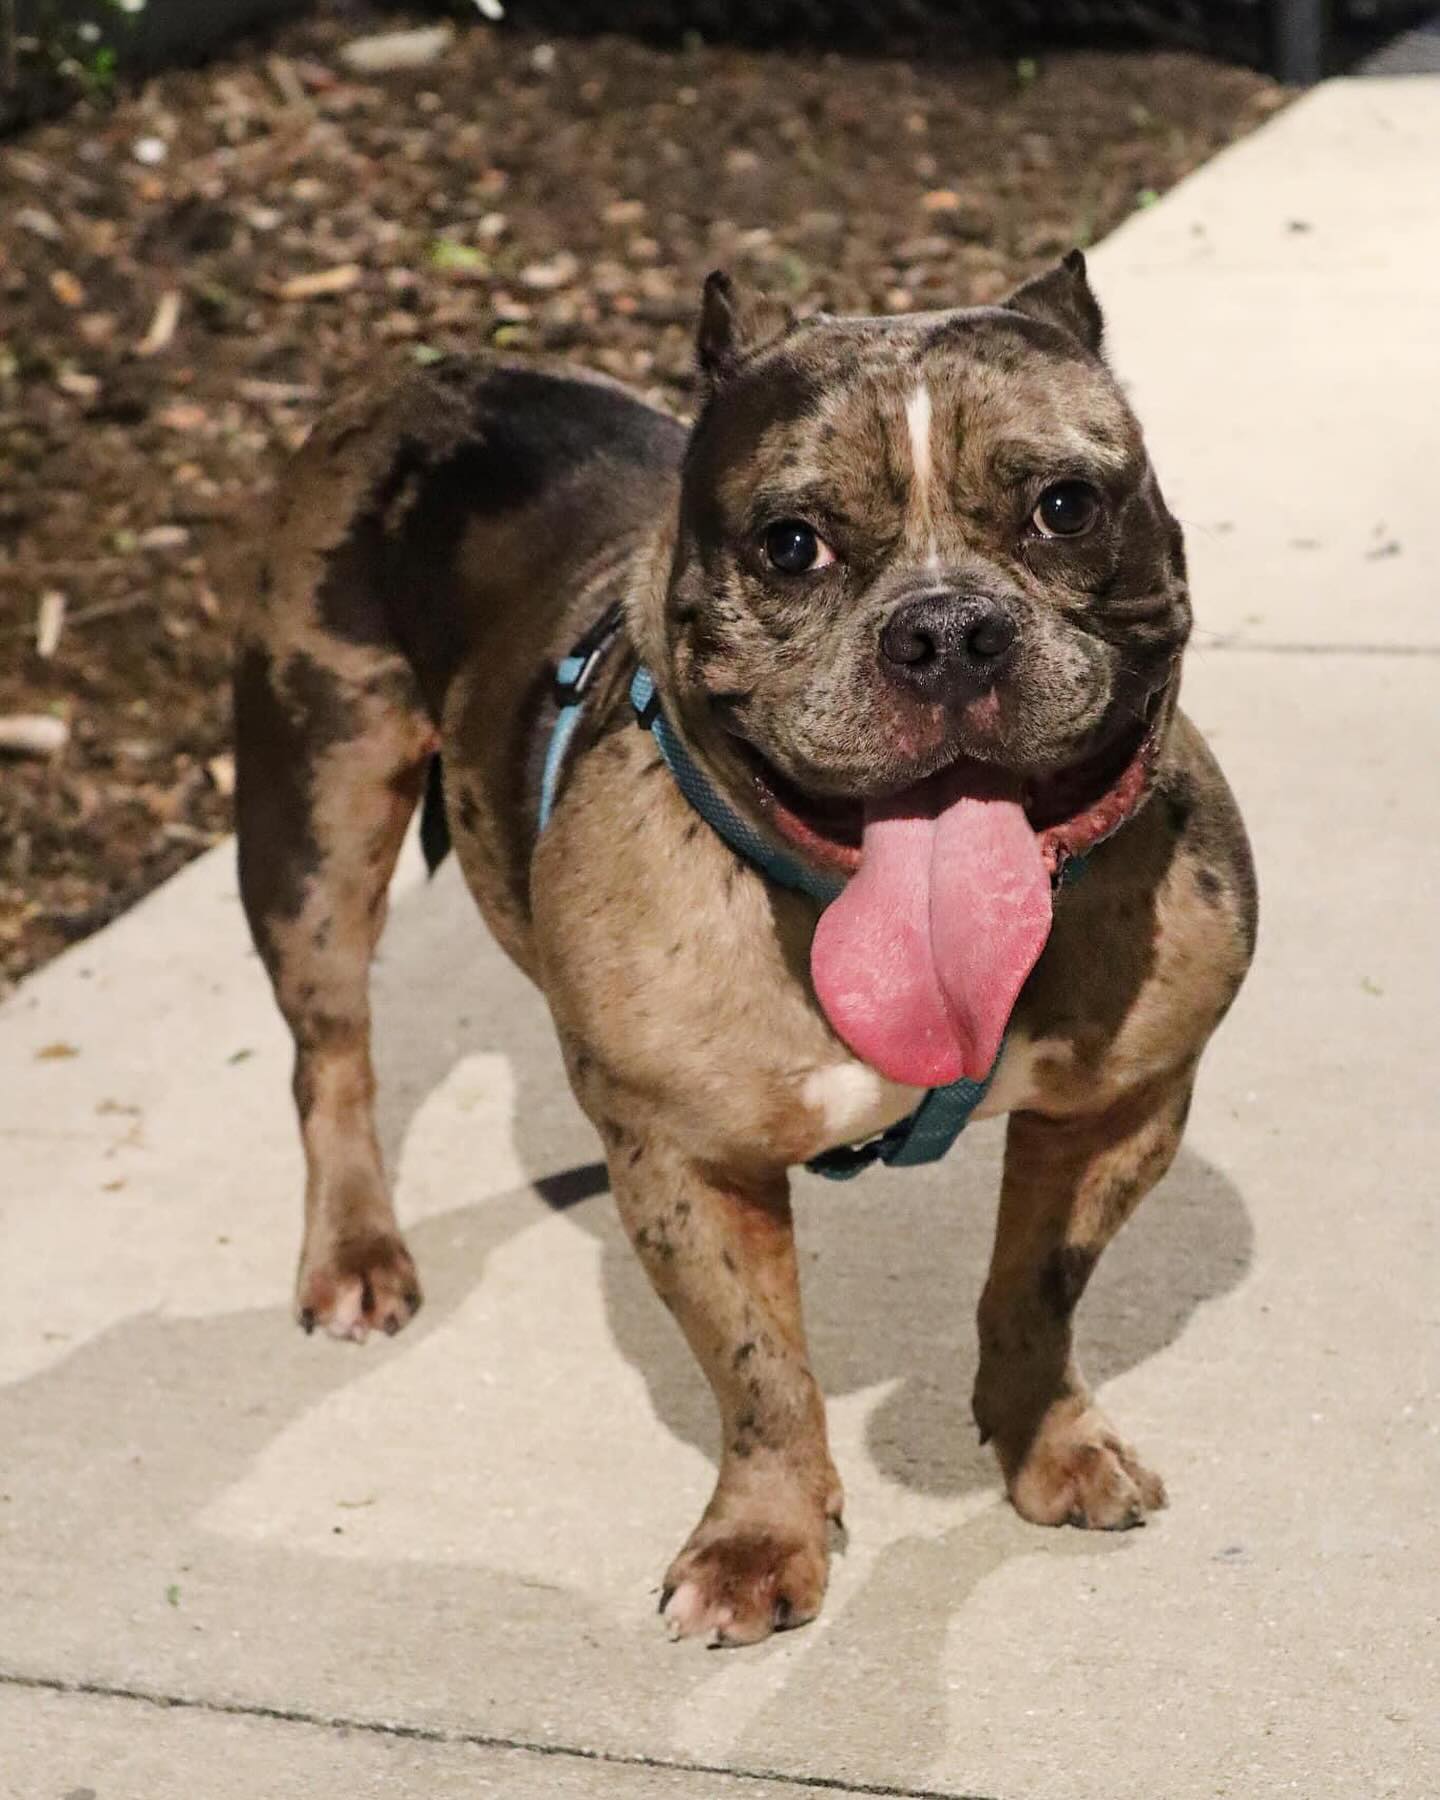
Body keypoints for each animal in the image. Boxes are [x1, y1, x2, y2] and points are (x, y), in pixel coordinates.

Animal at [234, 253, 1245, 1648]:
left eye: (1065, 507)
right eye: (789, 544)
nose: (946, 630)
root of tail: (426, 376)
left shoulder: (1116, 1112)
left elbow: (1038, 1291)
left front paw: (1047, 1442)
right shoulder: (687, 1164)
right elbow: (760, 1369)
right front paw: (761, 1541)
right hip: (316, 815)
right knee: (331, 1048)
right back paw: (352, 1252)